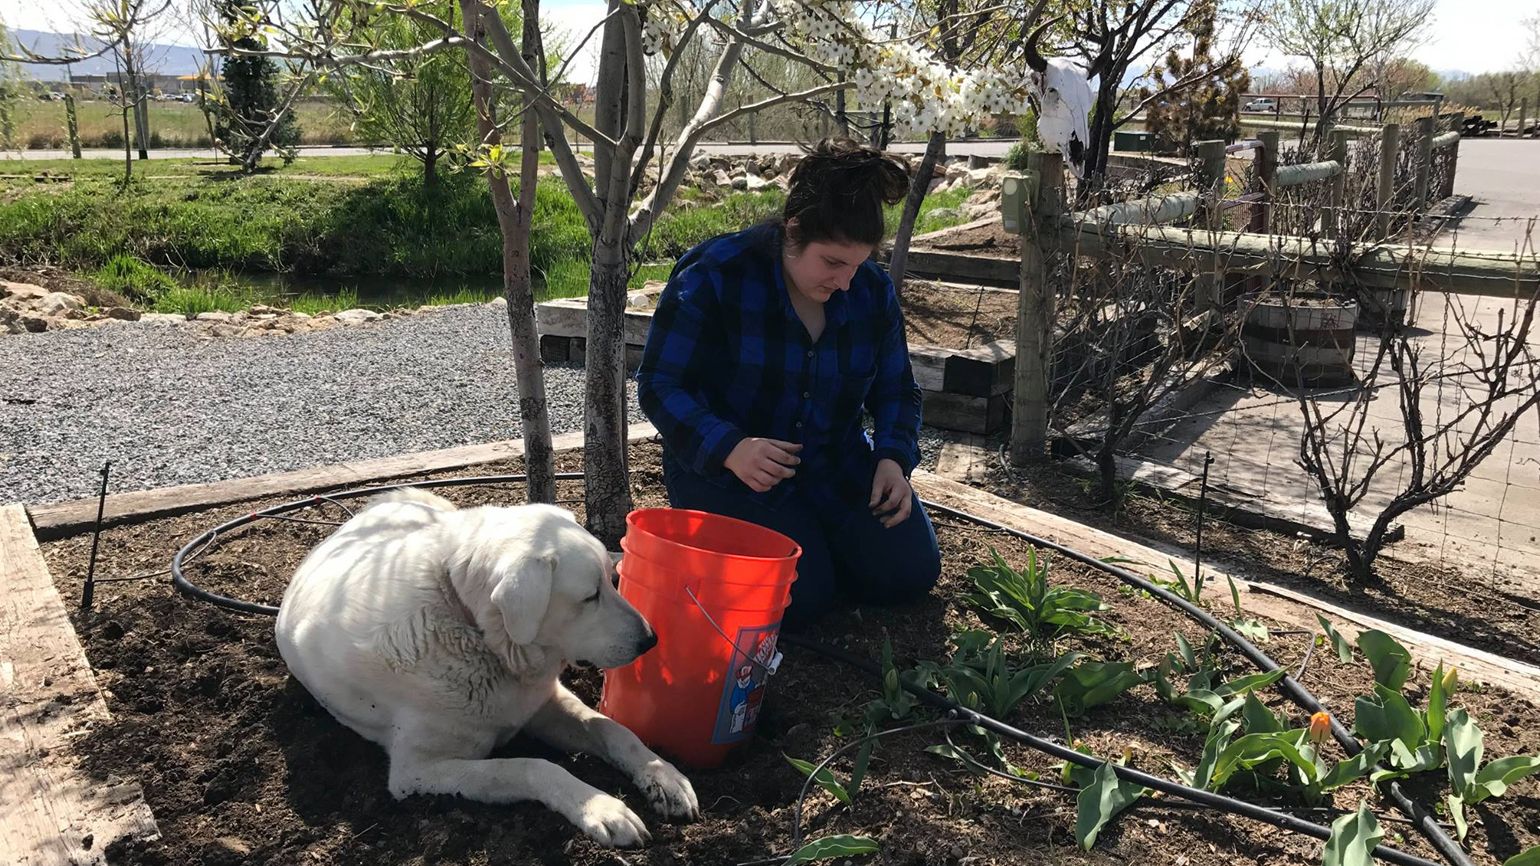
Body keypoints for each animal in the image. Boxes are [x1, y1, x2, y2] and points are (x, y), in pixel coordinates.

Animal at [275, 493, 699, 844]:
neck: (478, 633)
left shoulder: (542, 704)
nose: (650, 640)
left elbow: (611, 729)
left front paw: (662, 774)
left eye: (613, 581)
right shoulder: (419, 771)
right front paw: (601, 807)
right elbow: (533, 766)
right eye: (589, 596)